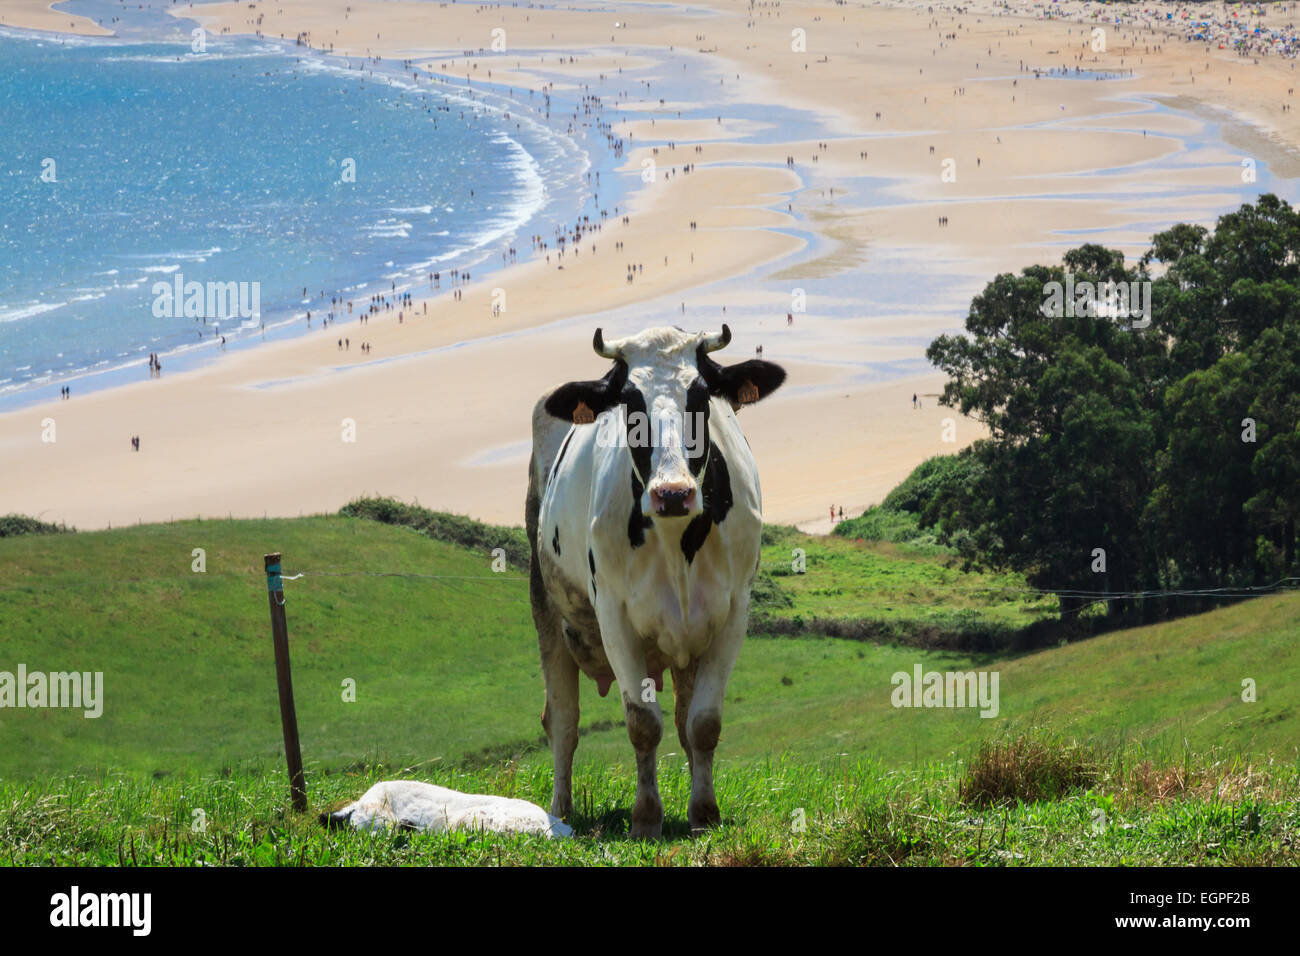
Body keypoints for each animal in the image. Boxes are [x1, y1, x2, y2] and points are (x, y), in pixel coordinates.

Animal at [525, 324, 785, 838]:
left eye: (702, 396)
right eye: (629, 402)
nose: (673, 493)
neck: (676, 541)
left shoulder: (733, 612)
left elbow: (703, 723)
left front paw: (704, 812)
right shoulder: (614, 615)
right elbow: (642, 723)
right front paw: (646, 819)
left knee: (683, 720)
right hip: (546, 601)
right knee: (562, 719)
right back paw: (561, 811)